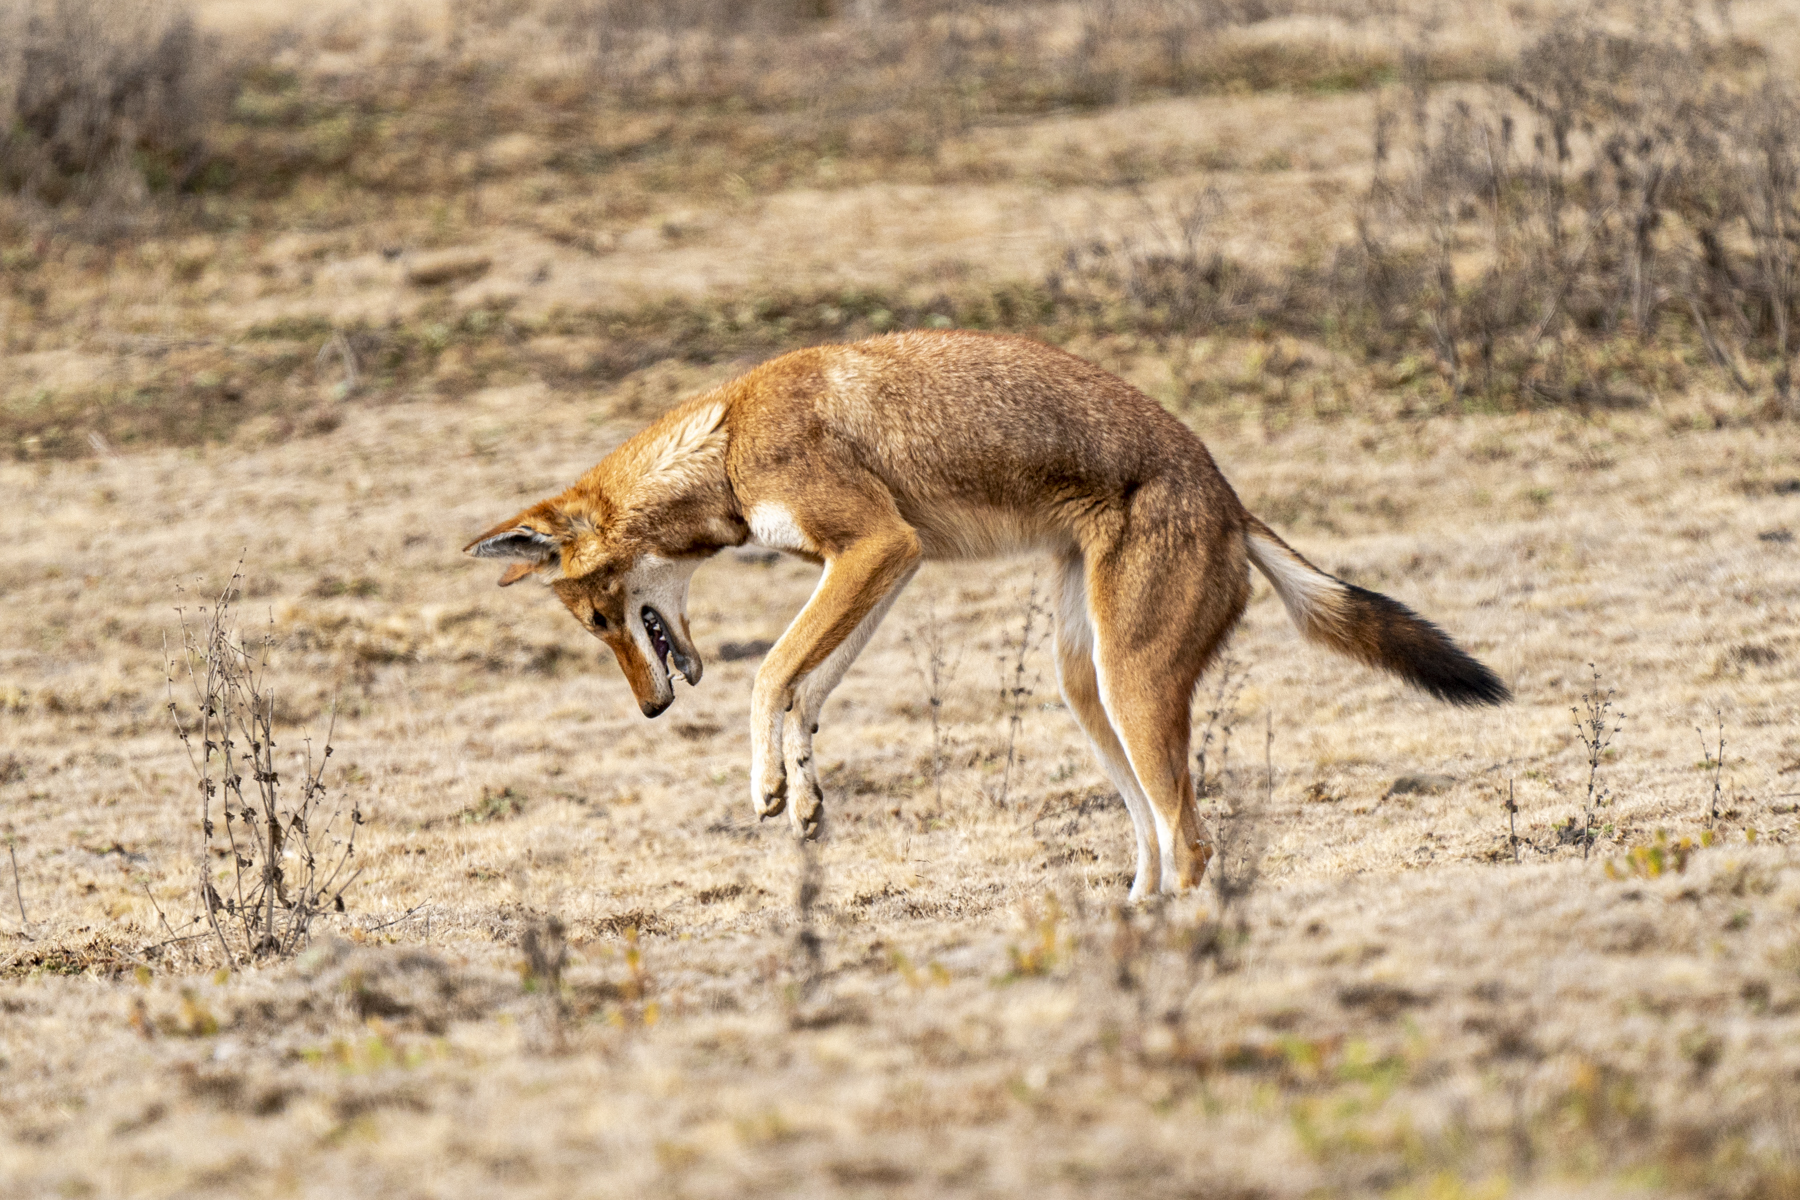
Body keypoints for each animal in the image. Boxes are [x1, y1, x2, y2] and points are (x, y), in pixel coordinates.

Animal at [464, 332, 1504, 895]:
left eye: (600, 621)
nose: (649, 710)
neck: (726, 443)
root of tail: (1232, 497)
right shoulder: (888, 562)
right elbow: (808, 690)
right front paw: (805, 793)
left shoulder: (876, 548)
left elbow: (769, 674)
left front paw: (764, 786)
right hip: (1085, 690)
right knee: (1155, 835)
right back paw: (1130, 922)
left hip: (1130, 688)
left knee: (1196, 840)